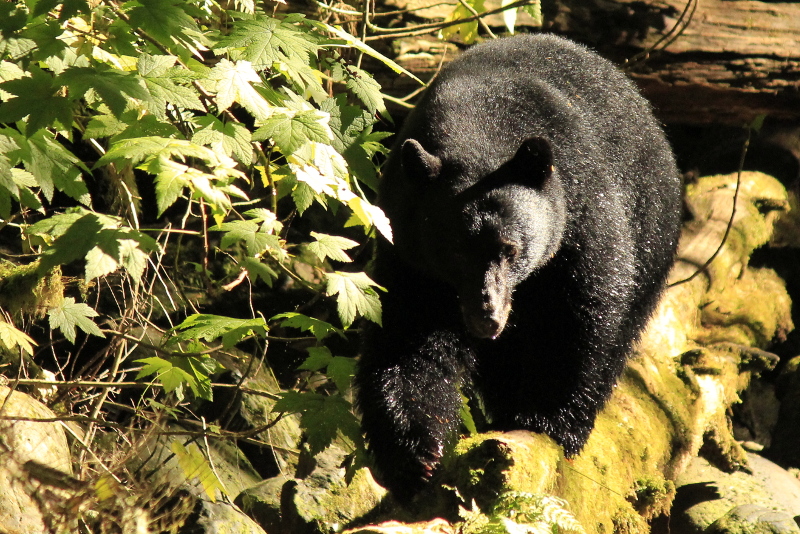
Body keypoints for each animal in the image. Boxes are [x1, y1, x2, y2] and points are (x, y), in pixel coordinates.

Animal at [356, 34, 680, 502]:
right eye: (453, 253)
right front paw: (414, 456)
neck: (479, 126)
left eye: (510, 250)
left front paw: (550, 419)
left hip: (652, 231)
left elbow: (579, 313)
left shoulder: (581, 213)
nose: (486, 319)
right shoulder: (408, 247)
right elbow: (406, 335)